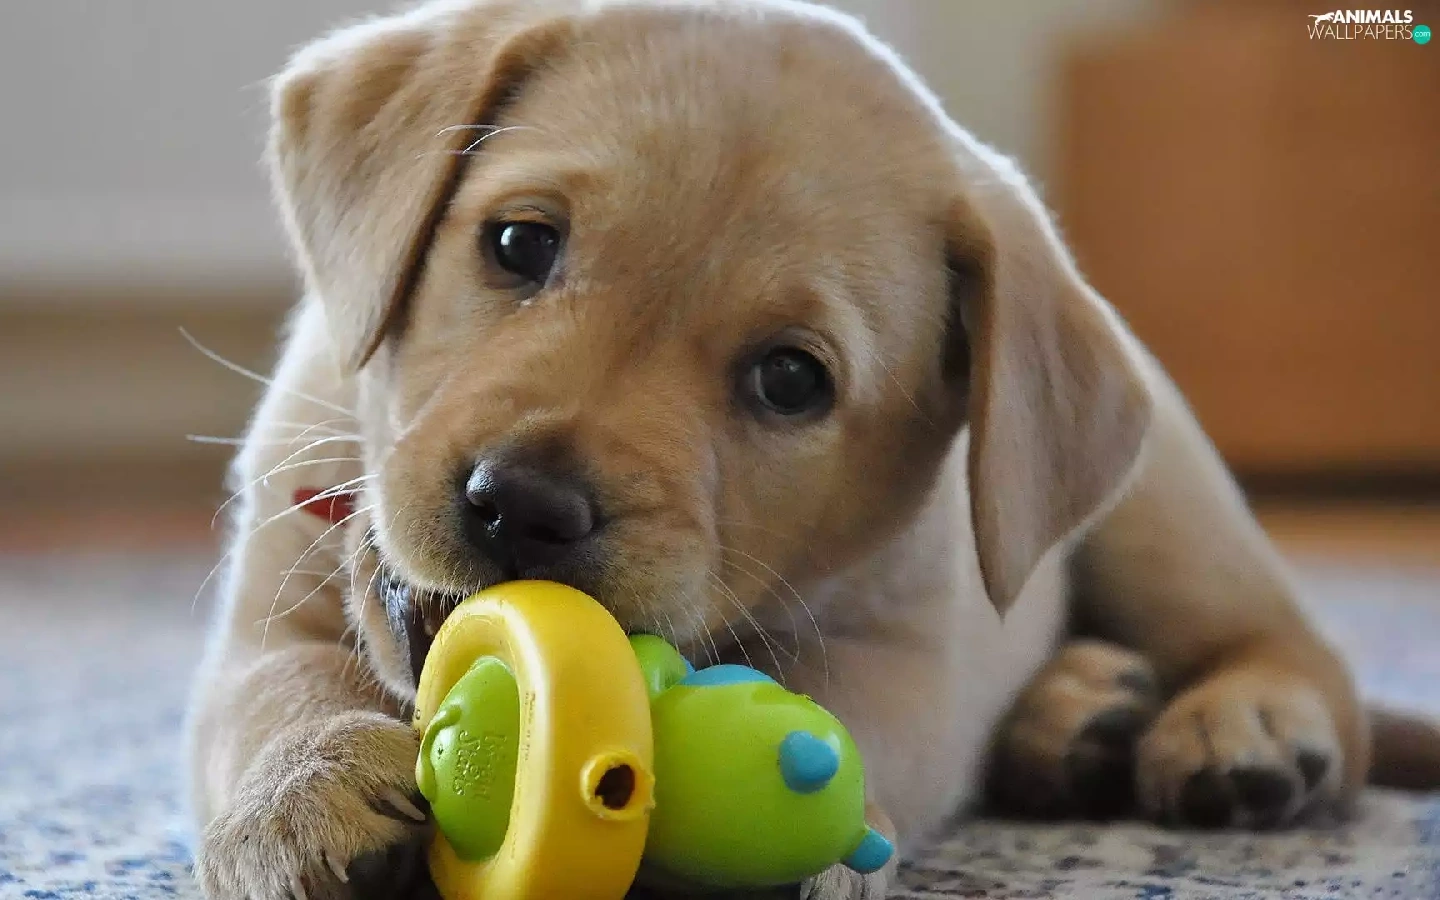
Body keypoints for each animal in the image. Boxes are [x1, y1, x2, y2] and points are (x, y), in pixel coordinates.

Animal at [183, 1, 1440, 898]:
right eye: (517, 244)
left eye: (791, 380)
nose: (524, 507)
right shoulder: (272, 600)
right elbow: (280, 691)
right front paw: (303, 798)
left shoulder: (906, 655)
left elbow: (847, 722)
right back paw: (1077, 715)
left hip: (1163, 512)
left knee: (1296, 651)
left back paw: (1243, 727)